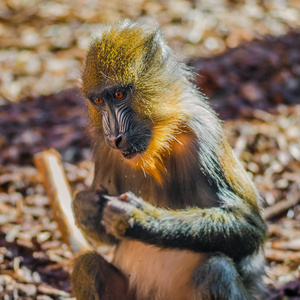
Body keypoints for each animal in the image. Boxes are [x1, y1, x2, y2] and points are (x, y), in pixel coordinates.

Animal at [71, 19, 268, 298]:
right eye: (99, 101)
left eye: (119, 95)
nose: (115, 137)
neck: (158, 142)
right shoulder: (103, 149)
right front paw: (86, 207)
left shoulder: (202, 134)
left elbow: (249, 224)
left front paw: (139, 219)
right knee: (87, 265)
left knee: (217, 269)